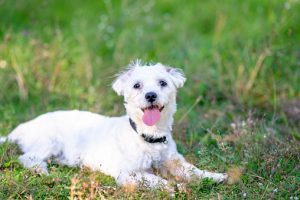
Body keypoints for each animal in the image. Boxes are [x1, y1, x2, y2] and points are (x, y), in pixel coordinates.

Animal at [2, 61, 229, 191]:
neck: (148, 136)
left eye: (163, 83)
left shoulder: (174, 161)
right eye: (137, 85)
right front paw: (174, 186)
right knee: (28, 158)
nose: (151, 95)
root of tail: (23, 127)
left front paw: (214, 176)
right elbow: (156, 180)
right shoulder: (128, 174)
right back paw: (41, 170)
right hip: (49, 141)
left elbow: (193, 171)